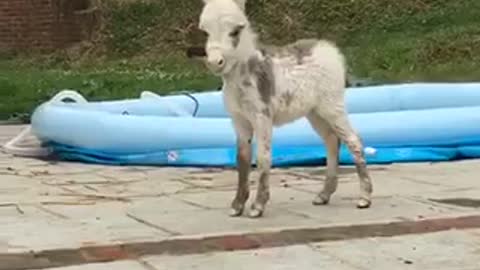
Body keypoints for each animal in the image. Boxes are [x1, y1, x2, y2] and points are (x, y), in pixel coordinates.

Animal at [197, 0, 374, 217]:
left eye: (235, 31)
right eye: (205, 32)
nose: (215, 63)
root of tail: (328, 48)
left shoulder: (262, 117)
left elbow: (263, 157)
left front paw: (258, 206)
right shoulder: (239, 120)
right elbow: (242, 159)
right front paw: (237, 205)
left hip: (332, 106)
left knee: (354, 140)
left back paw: (364, 198)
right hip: (314, 113)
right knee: (332, 141)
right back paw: (324, 194)